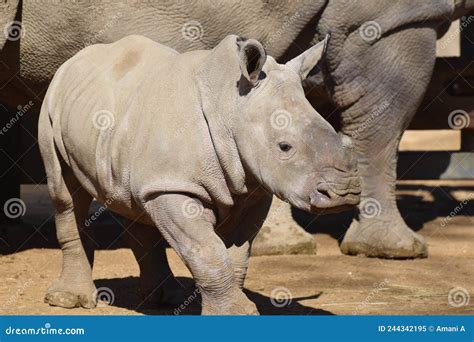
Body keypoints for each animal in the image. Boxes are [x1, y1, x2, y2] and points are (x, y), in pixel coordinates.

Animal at [39, 34, 360, 316]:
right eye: (285, 147)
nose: (344, 194)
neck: (231, 108)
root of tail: (73, 61)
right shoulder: (175, 186)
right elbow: (207, 251)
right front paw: (236, 315)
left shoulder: (254, 190)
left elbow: (237, 254)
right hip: (52, 107)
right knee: (65, 196)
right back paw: (69, 300)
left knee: (133, 201)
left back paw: (164, 300)